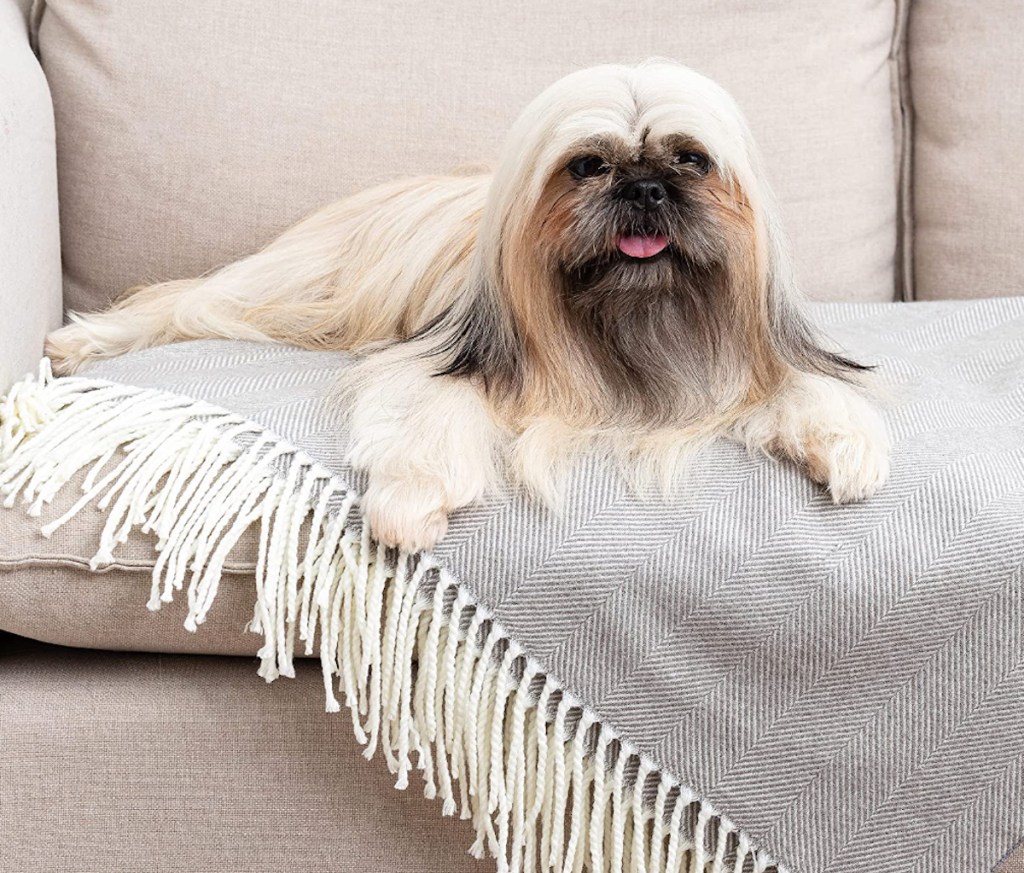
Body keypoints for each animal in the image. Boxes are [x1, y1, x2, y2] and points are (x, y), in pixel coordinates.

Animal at [46, 59, 888, 552]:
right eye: (587, 166)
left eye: (691, 159)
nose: (645, 187)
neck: (628, 319)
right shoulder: (433, 366)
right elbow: (425, 423)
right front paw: (409, 506)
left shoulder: (749, 363)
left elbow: (810, 390)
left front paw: (848, 448)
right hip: (290, 289)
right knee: (178, 304)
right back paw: (78, 344)